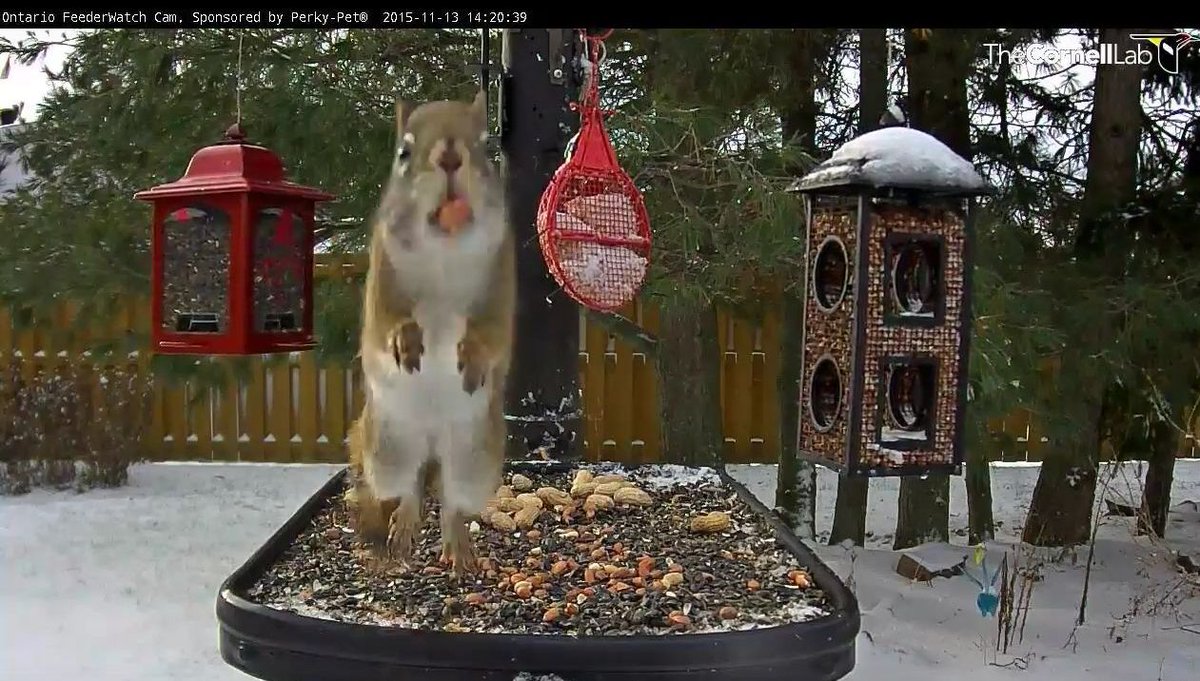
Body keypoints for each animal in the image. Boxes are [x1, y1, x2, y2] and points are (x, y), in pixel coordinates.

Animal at [347, 90, 516, 577]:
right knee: (407, 488)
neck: (444, 249)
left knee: (453, 501)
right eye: (403, 153)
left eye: (488, 146)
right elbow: (385, 324)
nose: (450, 157)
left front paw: (474, 355)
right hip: (389, 450)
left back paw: (458, 545)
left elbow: (493, 333)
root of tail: (434, 441)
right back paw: (404, 526)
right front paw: (406, 341)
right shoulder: (382, 282)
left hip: (475, 458)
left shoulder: (500, 282)